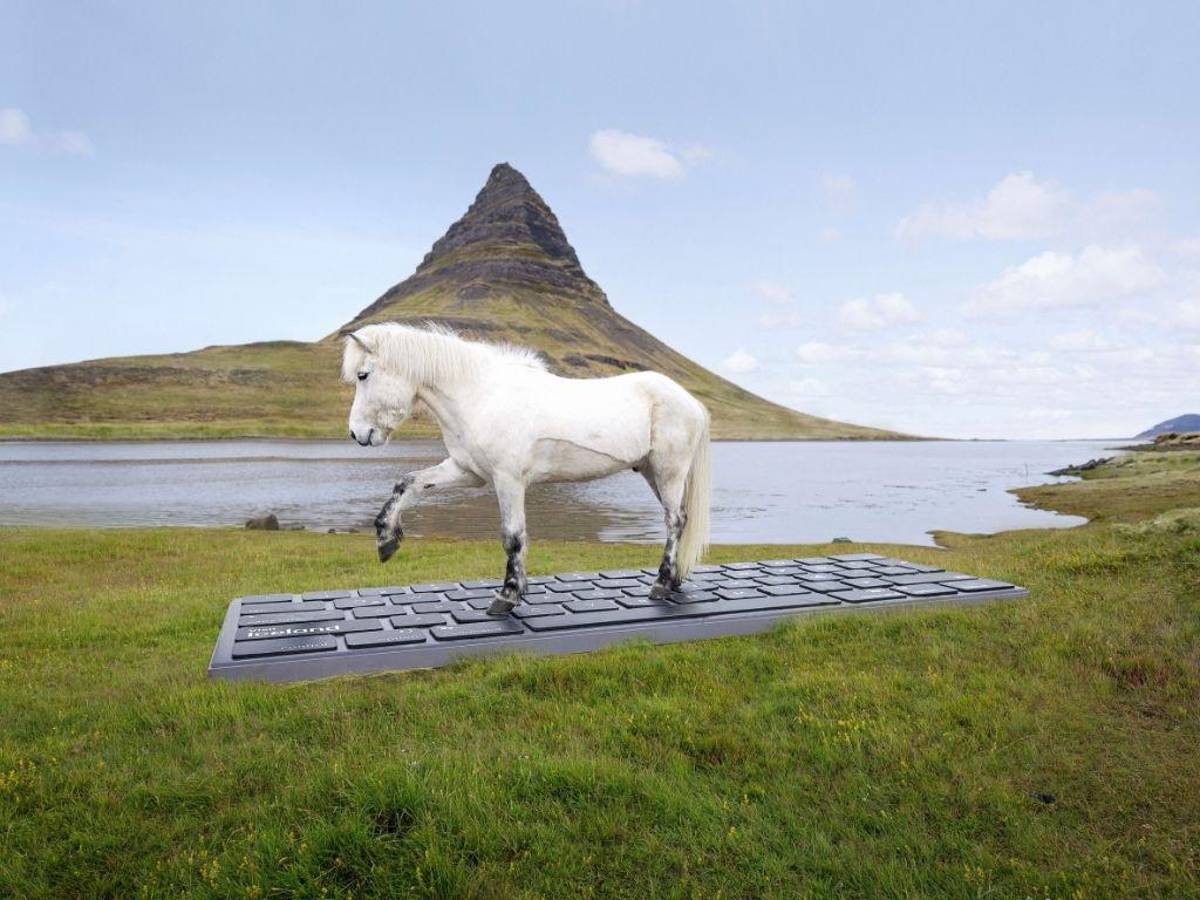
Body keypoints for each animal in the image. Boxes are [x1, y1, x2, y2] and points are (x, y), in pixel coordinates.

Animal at [342, 322, 711, 616]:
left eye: (363, 375)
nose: (357, 434)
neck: (481, 396)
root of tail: (691, 401)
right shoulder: (467, 472)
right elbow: (407, 483)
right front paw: (386, 539)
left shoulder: (508, 480)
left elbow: (513, 537)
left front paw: (507, 595)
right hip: (651, 473)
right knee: (680, 518)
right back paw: (674, 580)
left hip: (669, 471)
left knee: (675, 521)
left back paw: (661, 583)